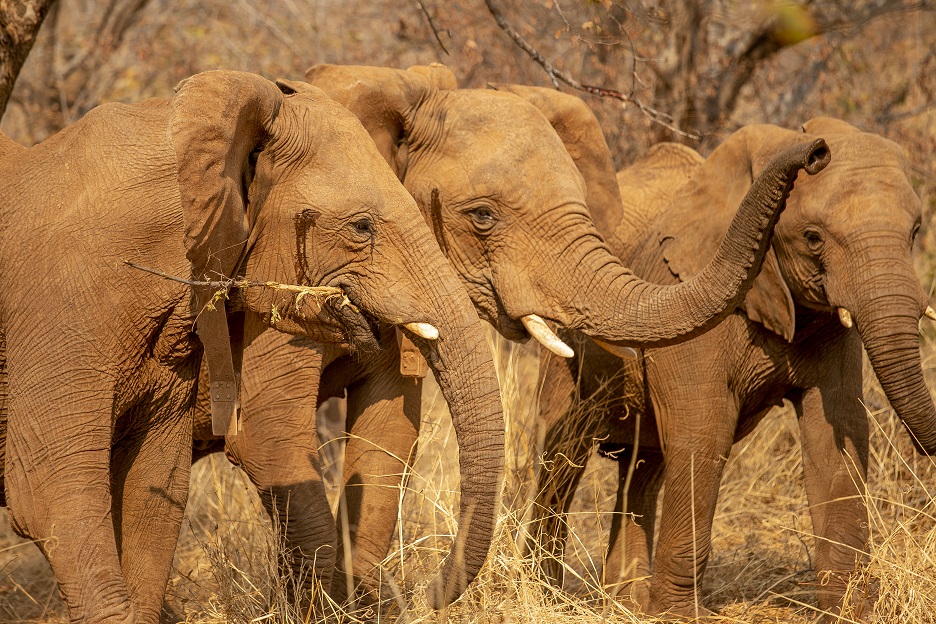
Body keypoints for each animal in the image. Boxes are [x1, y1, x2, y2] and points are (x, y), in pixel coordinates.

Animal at [188, 61, 828, 608]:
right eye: (482, 217)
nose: (815, 150)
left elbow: (388, 431)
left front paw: (366, 598)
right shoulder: (284, 266)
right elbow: (275, 431)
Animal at [532, 117, 936, 620]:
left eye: (915, 231)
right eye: (813, 238)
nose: (816, 149)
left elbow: (836, 432)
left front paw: (851, 612)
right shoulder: (687, 303)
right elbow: (704, 434)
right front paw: (676, 618)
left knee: (643, 466)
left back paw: (626, 604)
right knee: (560, 457)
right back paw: (545, 595)